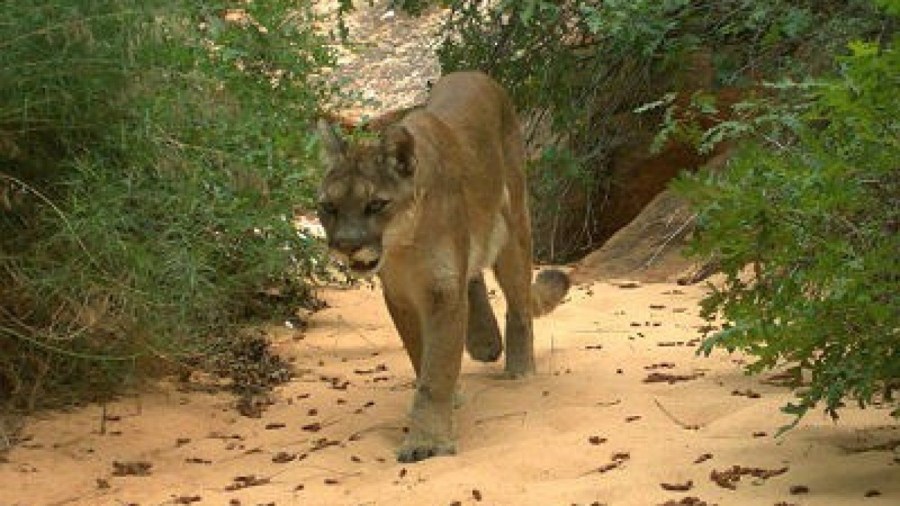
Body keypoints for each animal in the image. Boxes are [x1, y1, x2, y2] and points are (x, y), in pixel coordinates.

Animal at [316, 71, 568, 462]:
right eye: (329, 207)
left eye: (376, 204)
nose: (345, 244)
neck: (405, 246)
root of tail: (476, 74)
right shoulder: (400, 295)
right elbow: (422, 355)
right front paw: (449, 403)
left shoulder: (441, 291)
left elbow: (436, 369)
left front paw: (427, 441)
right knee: (476, 276)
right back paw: (484, 340)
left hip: (513, 230)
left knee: (520, 304)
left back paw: (519, 368)